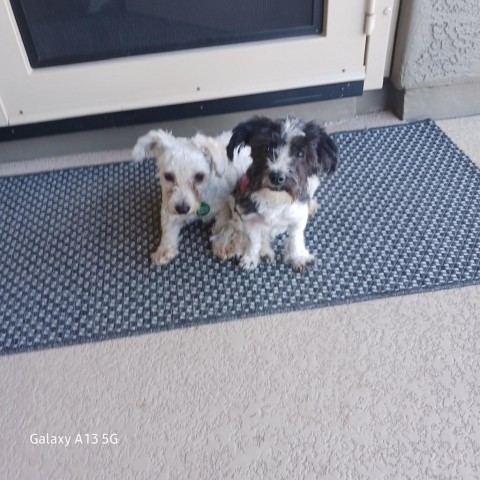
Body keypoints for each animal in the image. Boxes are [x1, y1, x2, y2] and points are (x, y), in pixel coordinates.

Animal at [131, 129, 251, 264]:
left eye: (199, 176)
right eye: (168, 176)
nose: (182, 209)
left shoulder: (224, 206)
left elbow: (222, 225)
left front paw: (221, 243)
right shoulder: (169, 208)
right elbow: (167, 229)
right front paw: (164, 249)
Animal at [210, 115, 338, 270]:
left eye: (300, 153)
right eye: (266, 148)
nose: (277, 176)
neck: (275, 199)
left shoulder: (298, 215)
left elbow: (296, 237)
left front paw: (299, 257)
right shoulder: (248, 215)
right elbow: (254, 240)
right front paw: (251, 257)